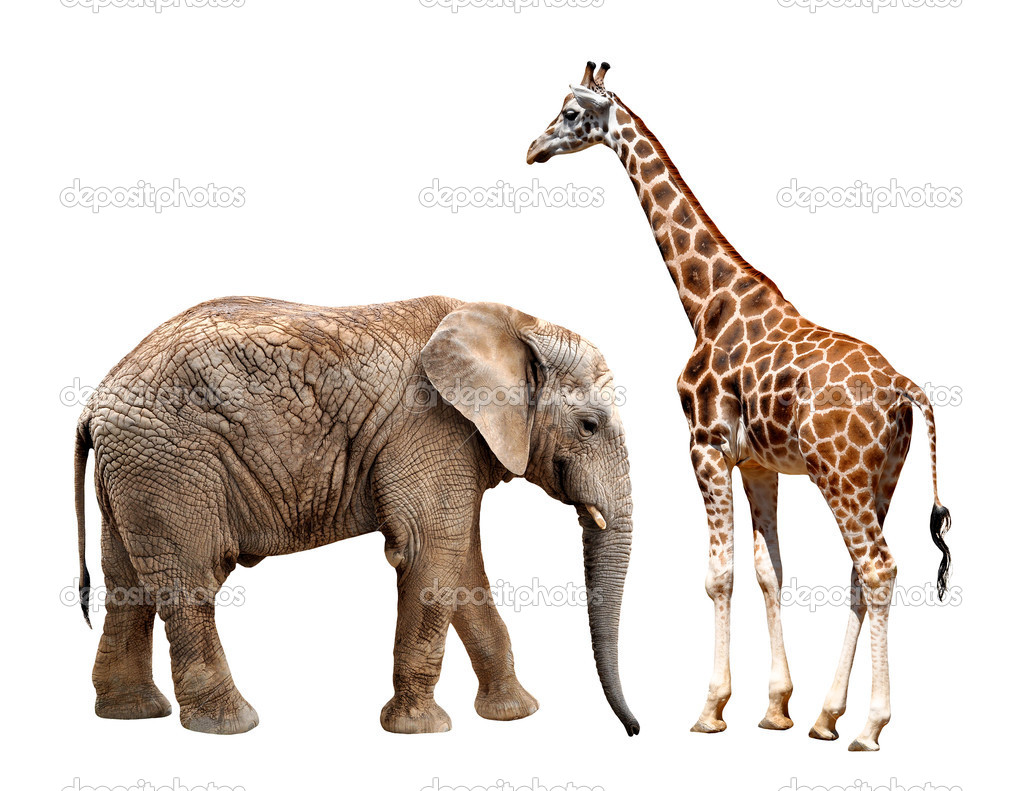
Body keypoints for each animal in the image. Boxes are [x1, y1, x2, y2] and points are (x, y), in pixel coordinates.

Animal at [73, 295, 640, 736]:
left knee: (126, 582)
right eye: (589, 426)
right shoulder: (430, 427)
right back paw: (231, 725)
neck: (518, 325)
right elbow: (430, 554)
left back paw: (131, 715)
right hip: (171, 464)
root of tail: (96, 401)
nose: (633, 730)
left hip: (134, 472)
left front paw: (515, 716)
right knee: (191, 582)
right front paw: (422, 730)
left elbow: (462, 564)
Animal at [526, 62, 952, 751]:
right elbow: (768, 571)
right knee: (860, 575)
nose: (532, 148)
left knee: (879, 568)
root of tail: (903, 389)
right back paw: (827, 718)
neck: (706, 300)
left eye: (569, 112)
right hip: (882, 475)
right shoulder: (757, 464)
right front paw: (777, 708)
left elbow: (718, 574)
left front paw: (711, 709)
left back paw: (869, 727)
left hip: (841, 474)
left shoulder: (704, 444)